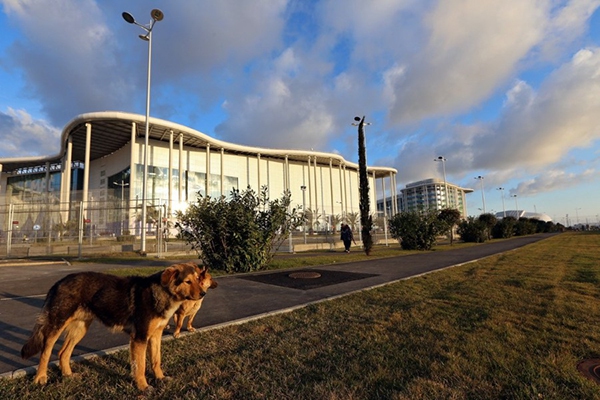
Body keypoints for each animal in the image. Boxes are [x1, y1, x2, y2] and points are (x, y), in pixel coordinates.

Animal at [21, 262, 212, 390]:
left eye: (197, 279)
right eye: (187, 281)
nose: (204, 294)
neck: (161, 292)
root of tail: (59, 282)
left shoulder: (156, 335)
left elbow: (156, 360)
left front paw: (160, 378)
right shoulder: (140, 337)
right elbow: (140, 366)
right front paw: (143, 387)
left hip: (80, 328)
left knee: (63, 352)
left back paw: (68, 375)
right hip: (57, 325)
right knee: (46, 351)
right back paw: (40, 377)